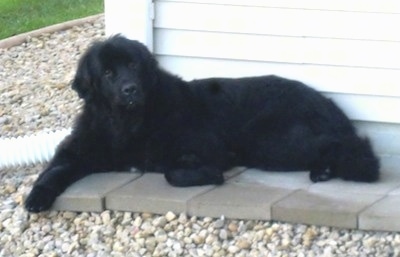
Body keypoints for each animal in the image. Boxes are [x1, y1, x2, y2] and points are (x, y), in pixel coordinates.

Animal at [25, 35, 382, 212]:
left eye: (133, 65)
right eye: (109, 73)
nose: (130, 89)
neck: (128, 122)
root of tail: (325, 101)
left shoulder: (204, 148)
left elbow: (173, 172)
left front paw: (210, 175)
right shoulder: (80, 149)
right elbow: (54, 170)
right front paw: (35, 198)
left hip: (271, 142)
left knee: (351, 146)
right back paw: (325, 170)